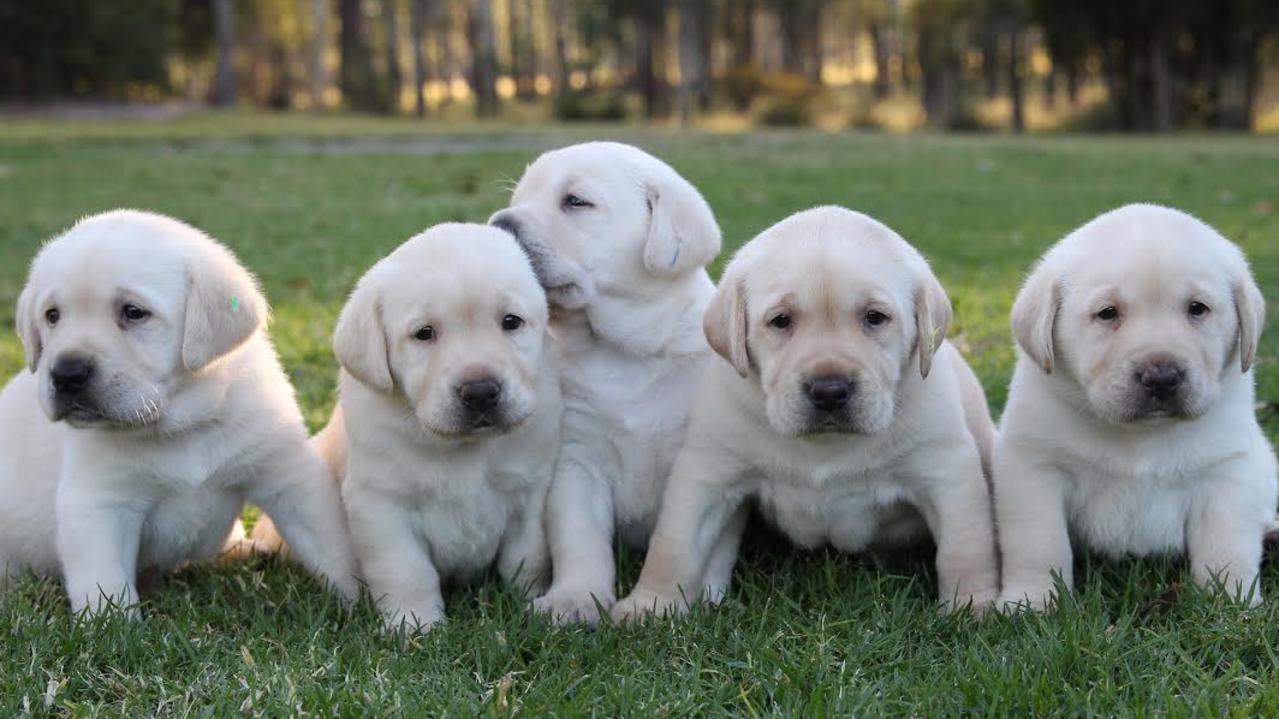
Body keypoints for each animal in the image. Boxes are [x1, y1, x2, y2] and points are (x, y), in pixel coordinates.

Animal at [329, 222, 560, 626]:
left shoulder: (531, 492)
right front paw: (415, 625)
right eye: (424, 333)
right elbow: (406, 571)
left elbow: (526, 556)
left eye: (511, 322)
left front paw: (528, 600)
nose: (481, 392)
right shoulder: (380, 504)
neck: (464, 448)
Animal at [486, 141, 721, 621]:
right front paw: (574, 599)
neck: (623, 352)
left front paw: (669, 602)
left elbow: (678, 542)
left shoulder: (698, 461)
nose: (500, 225)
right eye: (518, 198)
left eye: (575, 201)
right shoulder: (577, 461)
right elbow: (579, 540)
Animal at [608, 204, 997, 619]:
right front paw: (649, 605)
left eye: (875, 317)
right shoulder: (708, 472)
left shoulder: (946, 471)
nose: (829, 391)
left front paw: (973, 605)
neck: (823, 445)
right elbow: (674, 545)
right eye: (781, 321)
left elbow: (965, 546)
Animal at [997, 204, 1279, 606]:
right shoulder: (1035, 468)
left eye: (1198, 309)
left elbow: (1227, 545)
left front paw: (1230, 599)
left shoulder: (1228, 469)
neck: (1141, 435)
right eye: (1107, 313)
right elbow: (1038, 543)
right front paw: (1032, 600)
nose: (1161, 376)